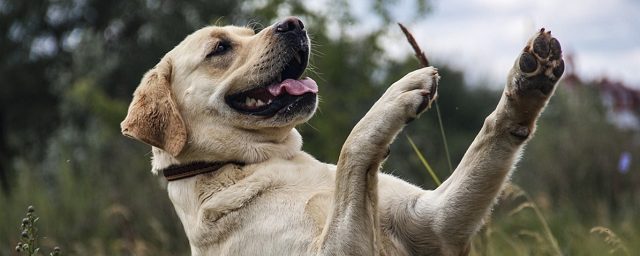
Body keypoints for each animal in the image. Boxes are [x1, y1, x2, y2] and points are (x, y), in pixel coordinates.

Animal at [121, 17, 564, 255]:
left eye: (249, 32)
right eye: (219, 48)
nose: (294, 23)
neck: (258, 162)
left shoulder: (433, 220)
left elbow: (490, 136)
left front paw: (527, 83)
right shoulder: (335, 247)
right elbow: (354, 143)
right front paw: (395, 95)